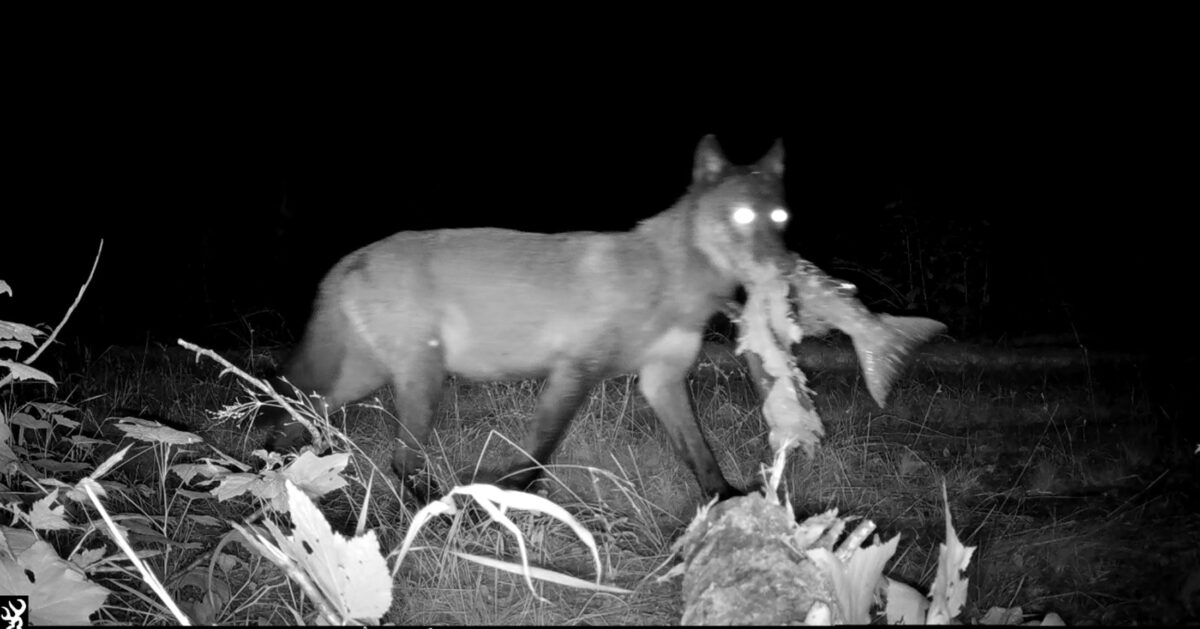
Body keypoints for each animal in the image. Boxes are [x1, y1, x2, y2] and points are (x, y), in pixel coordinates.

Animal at [259, 135, 793, 500]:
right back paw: (441, 513)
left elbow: (702, 457)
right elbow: (538, 454)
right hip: (421, 380)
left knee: (294, 417)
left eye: (781, 219)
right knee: (399, 458)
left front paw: (729, 502)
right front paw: (501, 497)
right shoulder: (574, 373)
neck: (670, 282)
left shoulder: (662, 380)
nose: (784, 268)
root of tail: (352, 257)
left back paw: (270, 480)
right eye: (742, 217)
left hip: (363, 381)